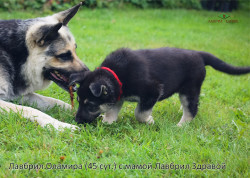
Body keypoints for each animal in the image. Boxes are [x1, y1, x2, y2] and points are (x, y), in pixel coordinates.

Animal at [0, 2, 88, 130]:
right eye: (64, 55)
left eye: (75, 50)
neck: (19, 55)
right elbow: (31, 110)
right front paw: (61, 126)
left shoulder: (15, 95)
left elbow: (54, 101)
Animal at [70, 47, 250, 125]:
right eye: (78, 101)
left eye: (91, 105)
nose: (77, 121)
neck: (116, 74)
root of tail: (199, 54)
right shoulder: (118, 95)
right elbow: (111, 111)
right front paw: (108, 121)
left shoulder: (152, 92)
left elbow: (140, 113)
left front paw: (149, 120)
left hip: (189, 89)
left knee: (192, 109)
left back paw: (181, 126)